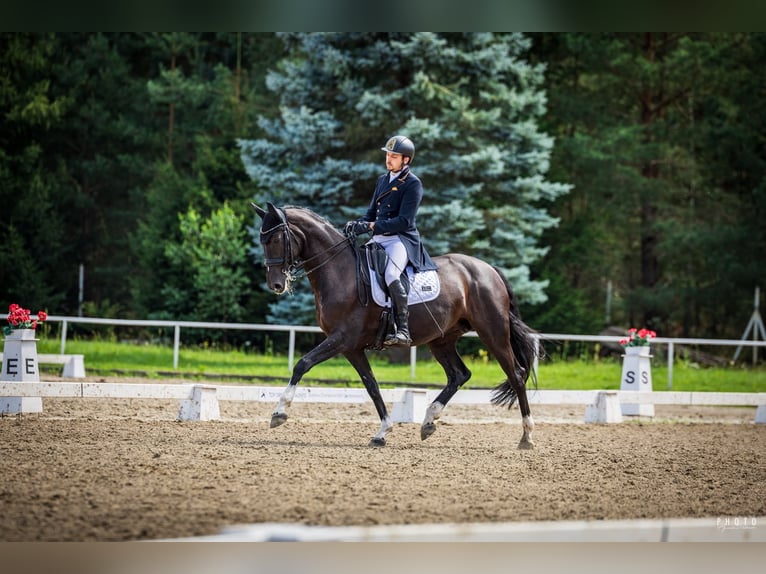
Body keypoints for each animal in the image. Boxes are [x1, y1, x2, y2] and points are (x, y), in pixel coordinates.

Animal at [252, 202, 539, 449]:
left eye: (275, 239)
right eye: (261, 241)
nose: (276, 284)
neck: (340, 272)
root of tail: (488, 269)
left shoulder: (342, 338)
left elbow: (303, 363)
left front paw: (279, 413)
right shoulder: (351, 348)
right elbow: (372, 386)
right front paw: (382, 432)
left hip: (493, 332)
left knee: (516, 375)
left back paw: (527, 437)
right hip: (442, 339)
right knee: (459, 374)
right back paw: (429, 422)